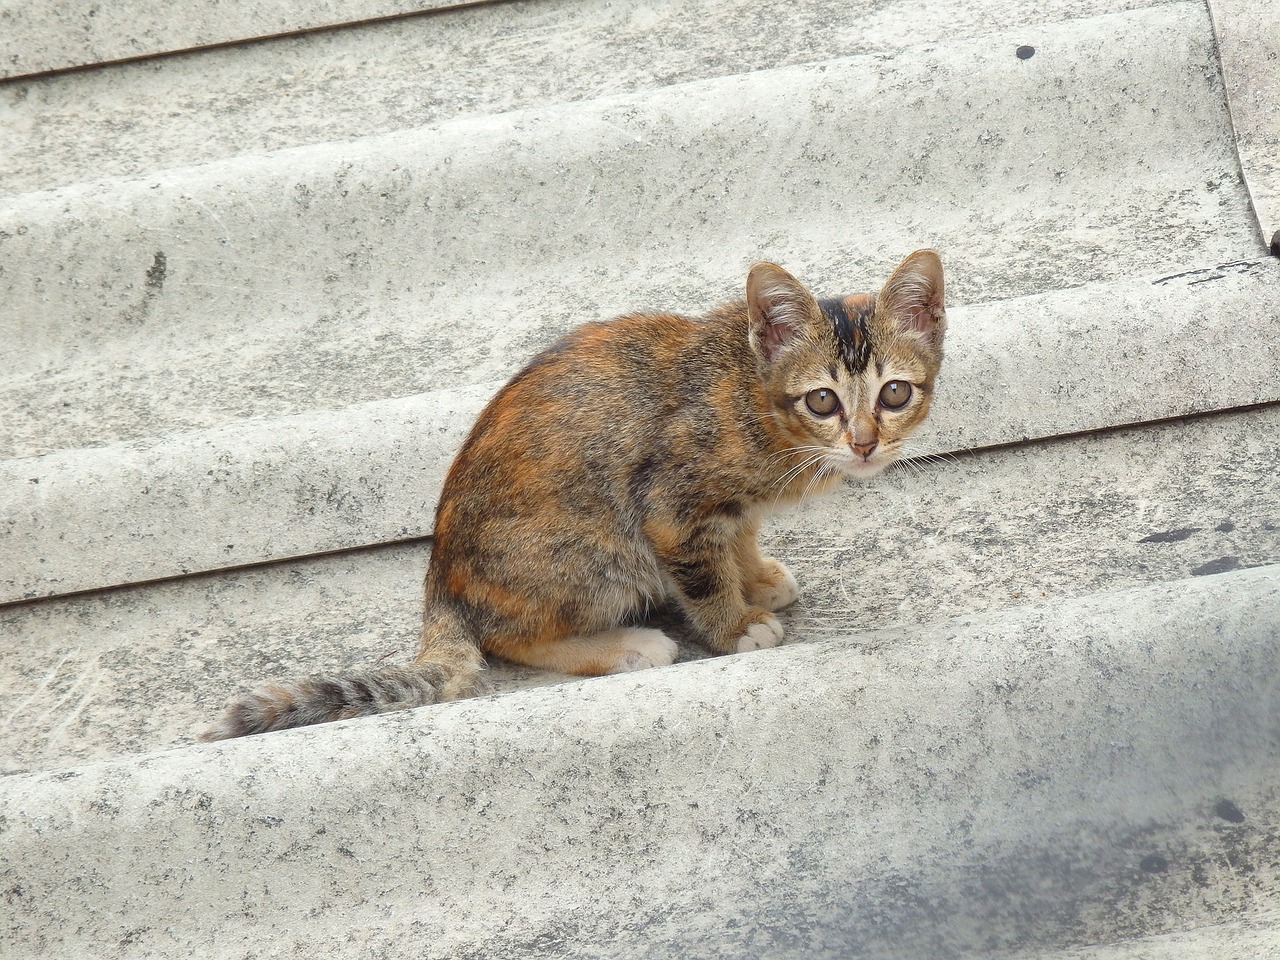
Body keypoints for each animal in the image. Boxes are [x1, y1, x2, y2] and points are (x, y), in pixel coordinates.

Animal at [199, 252, 942, 742]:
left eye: (894, 393)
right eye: (822, 401)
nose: (865, 444)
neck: (750, 390)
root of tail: (439, 579)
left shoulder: (730, 506)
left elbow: (741, 531)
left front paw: (755, 576)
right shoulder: (671, 506)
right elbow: (703, 572)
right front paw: (734, 624)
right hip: (598, 548)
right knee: (508, 636)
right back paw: (626, 646)